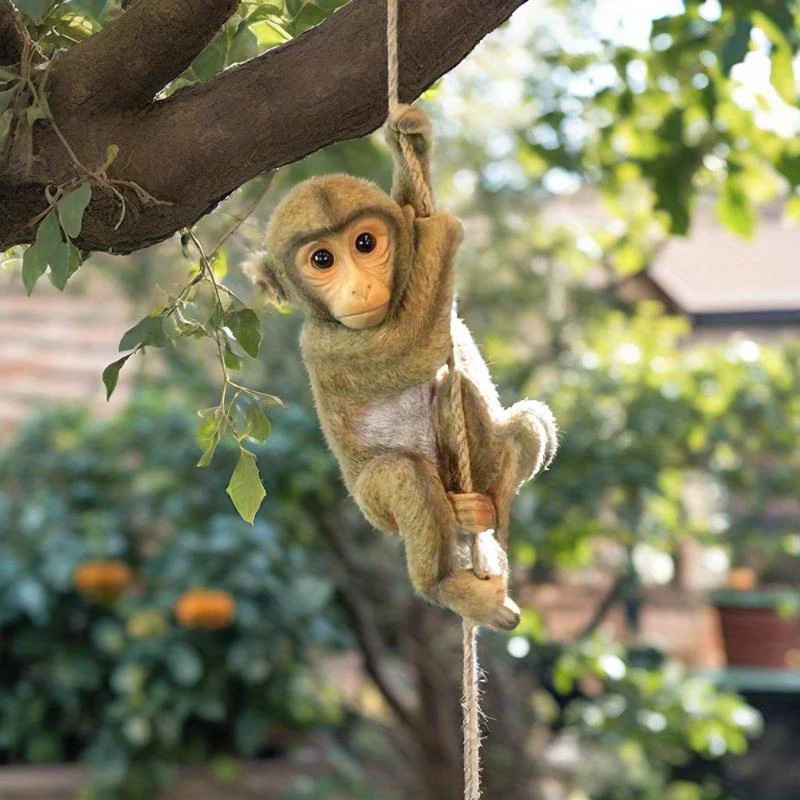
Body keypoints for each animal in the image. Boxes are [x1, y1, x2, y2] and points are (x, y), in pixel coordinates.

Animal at [247, 104, 557, 630]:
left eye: (365, 243)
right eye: (322, 258)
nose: (359, 287)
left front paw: (410, 140)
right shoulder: (324, 347)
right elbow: (415, 346)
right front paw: (439, 233)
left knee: (511, 417)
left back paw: (489, 511)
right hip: (374, 507)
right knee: (401, 474)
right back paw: (446, 584)